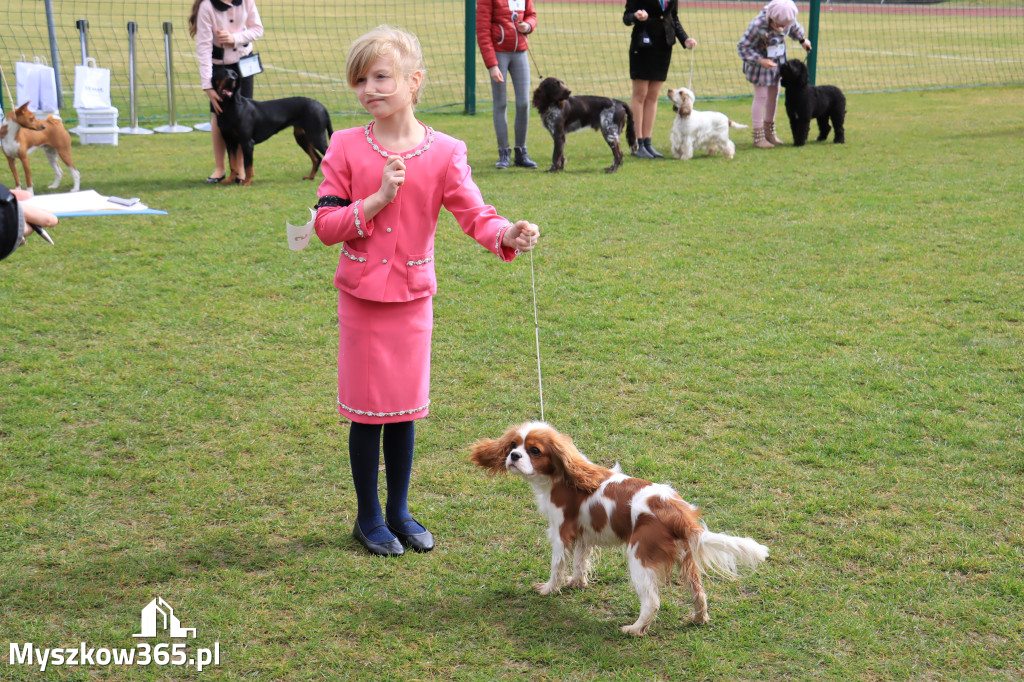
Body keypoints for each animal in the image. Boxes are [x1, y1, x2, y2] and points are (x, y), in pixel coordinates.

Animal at [471, 419, 770, 638]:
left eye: (534, 451)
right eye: (513, 444)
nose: (513, 455)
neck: (564, 475)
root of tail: (678, 513)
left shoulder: (561, 533)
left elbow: (557, 566)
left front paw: (548, 589)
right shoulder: (583, 534)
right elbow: (580, 562)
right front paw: (576, 583)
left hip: (639, 558)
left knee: (652, 602)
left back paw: (635, 629)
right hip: (687, 560)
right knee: (699, 593)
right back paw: (698, 619)